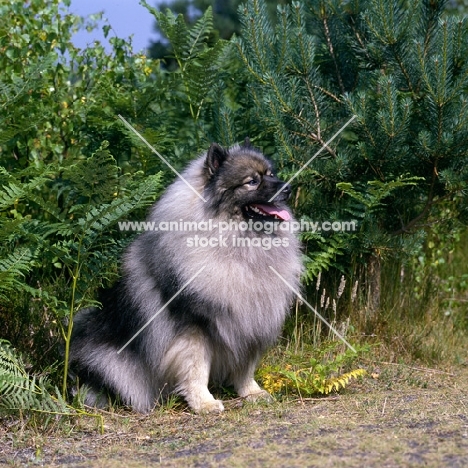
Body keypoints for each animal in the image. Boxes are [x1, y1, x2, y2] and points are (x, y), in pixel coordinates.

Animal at [71, 139, 302, 414]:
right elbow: (196, 368)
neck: (238, 243)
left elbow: (245, 366)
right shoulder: (193, 326)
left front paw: (251, 392)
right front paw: (204, 403)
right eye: (252, 181)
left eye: (271, 174)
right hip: (109, 358)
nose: (288, 188)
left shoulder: (250, 320)